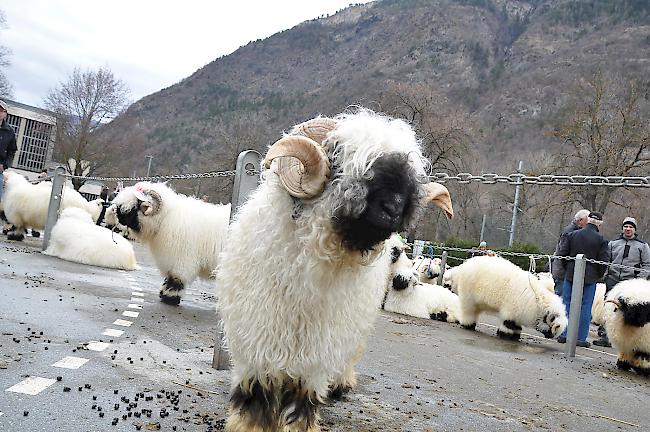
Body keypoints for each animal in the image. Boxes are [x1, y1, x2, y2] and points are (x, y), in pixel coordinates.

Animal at [215, 109, 454, 432]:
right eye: (339, 157)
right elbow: (256, 396)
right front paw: (249, 425)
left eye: (410, 171)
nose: (393, 208)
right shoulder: (256, 340)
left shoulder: (317, 354)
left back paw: (342, 383)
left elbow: (302, 400)